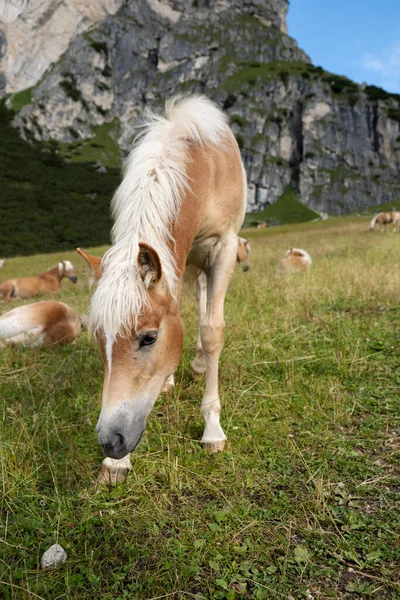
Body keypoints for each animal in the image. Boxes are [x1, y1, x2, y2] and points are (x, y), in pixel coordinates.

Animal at [78, 96, 247, 486]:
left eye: (149, 338)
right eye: (97, 338)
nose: (111, 442)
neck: (201, 170)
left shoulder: (224, 248)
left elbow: (212, 331)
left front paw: (212, 429)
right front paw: (116, 465)